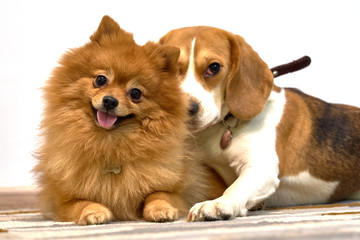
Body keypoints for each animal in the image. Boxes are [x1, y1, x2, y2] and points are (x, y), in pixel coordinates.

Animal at [33, 15, 225, 225]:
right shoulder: (61, 200)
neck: (111, 142)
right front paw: (93, 211)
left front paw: (161, 209)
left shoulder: (176, 191)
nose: (110, 100)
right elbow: (81, 202)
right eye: (101, 80)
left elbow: (158, 195)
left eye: (135, 93)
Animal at [160, 26, 360, 221]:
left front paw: (217, 204)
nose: (186, 109)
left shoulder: (261, 166)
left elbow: (235, 187)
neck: (223, 128)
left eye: (214, 67)